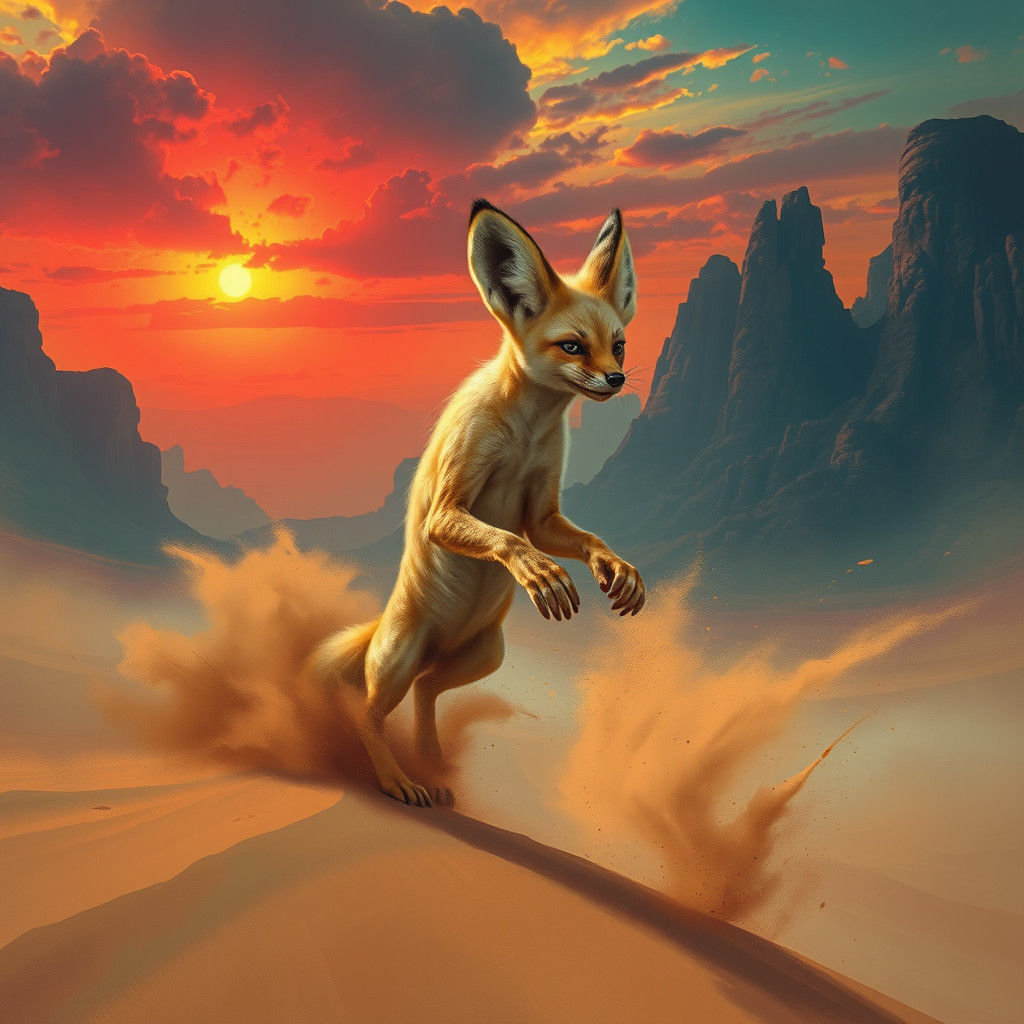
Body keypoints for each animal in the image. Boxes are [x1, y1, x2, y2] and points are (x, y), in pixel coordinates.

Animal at [313, 199, 645, 807]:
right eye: (572, 345)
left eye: (618, 344)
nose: (615, 378)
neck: (525, 432)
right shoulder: (448, 508)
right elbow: (506, 538)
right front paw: (541, 574)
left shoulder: (543, 512)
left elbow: (583, 539)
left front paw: (617, 569)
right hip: (399, 660)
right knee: (368, 713)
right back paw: (399, 781)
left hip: (484, 655)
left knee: (426, 691)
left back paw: (432, 761)